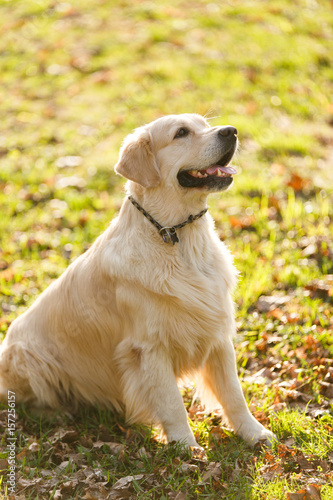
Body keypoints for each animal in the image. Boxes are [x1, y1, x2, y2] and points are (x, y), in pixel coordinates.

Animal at [0, 114, 274, 450]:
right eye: (181, 133)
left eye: (204, 123)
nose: (231, 131)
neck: (176, 237)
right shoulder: (149, 347)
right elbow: (172, 402)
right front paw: (186, 449)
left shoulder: (217, 333)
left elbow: (234, 395)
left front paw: (254, 433)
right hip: (26, 355)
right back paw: (59, 413)